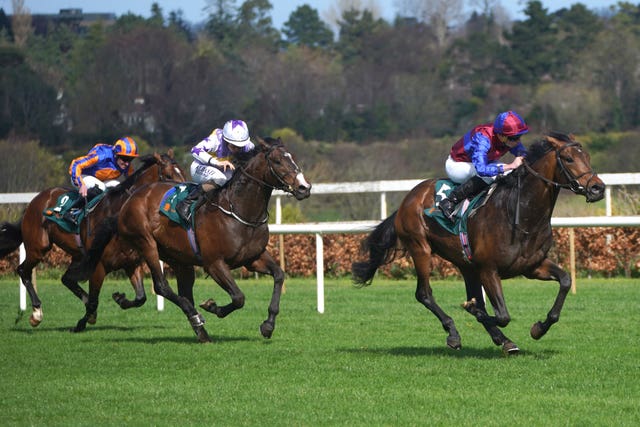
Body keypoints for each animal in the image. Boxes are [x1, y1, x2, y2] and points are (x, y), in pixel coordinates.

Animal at [0, 152, 186, 330]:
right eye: (168, 175)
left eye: (183, 173)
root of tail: (35, 200)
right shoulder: (99, 266)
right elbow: (95, 301)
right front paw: (81, 324)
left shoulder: (131, 263)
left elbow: (141, 298)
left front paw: (119, 299)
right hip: (38, 247)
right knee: (23, 270)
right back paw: (36, 313)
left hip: (78, 256)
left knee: (66, 279)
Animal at [71, 138, 312, 344]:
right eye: (278, 161)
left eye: (293, 158)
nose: (304, 187)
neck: (239, 211)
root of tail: (128, 200)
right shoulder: (214, 263)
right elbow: (238, 297)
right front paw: (212, 307)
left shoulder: (253, 258)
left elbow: (279, 276)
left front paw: (268, 325)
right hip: (145, 243)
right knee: (162, 286)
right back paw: (195, 315)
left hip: (179, 259)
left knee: (181, 291)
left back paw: (198, 330)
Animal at [350, 134, 604, 354]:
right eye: (569, 158)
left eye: (588, 156)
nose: (597, 188)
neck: (521, 215)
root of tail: (410, 196)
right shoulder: (489, 269)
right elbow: (501, 315)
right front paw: (473, 309)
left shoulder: (532, 266)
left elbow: (565, 281)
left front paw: (538, 328)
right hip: (420, 248)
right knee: (424, 294)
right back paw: (454, 333)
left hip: (466, 265)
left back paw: (503, 340)